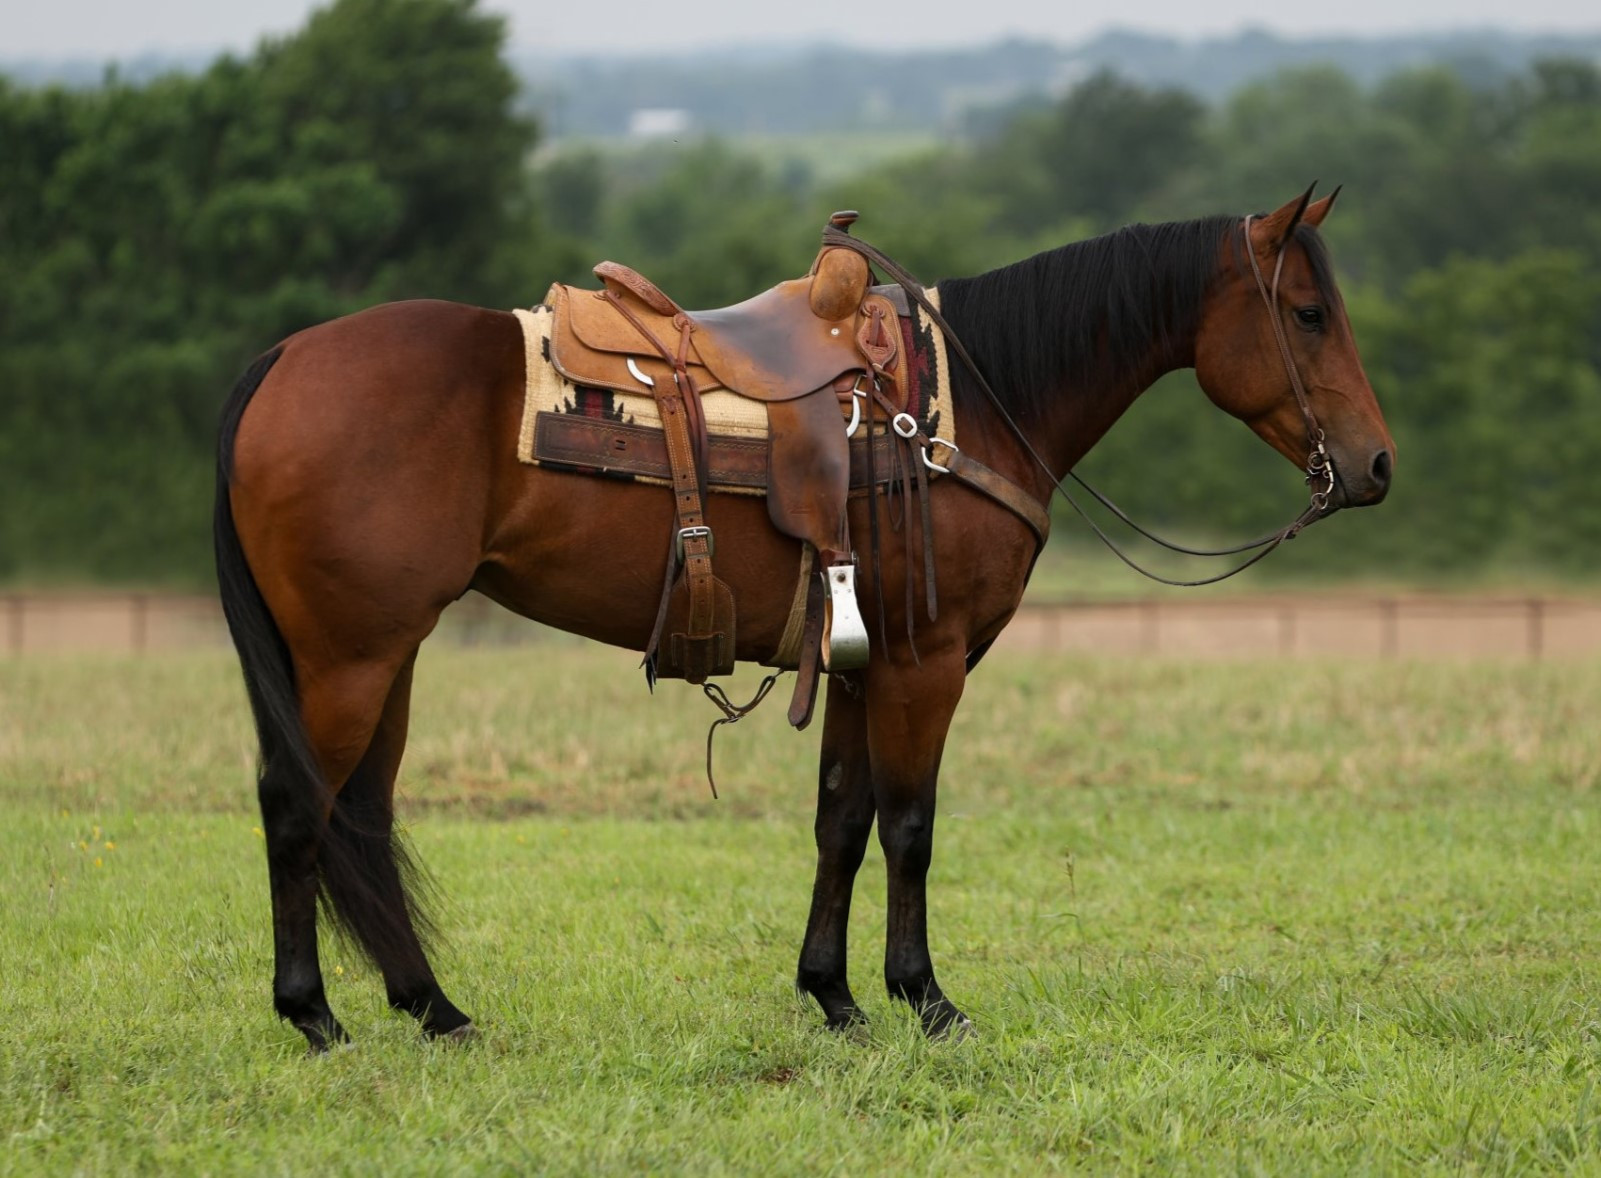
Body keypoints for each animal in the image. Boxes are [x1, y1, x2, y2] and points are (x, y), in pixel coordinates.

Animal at [209, 188, 1389, 1056]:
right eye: (1308, 313)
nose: (1374, 466)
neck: (968, 407)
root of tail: (284, 358)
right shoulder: (925, 664)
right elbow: (909, 828)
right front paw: (927, 1000)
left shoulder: (861, 665)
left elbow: (841, 820)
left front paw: (834, 995)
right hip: (350, 656)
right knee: (298, 804)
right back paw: (314, 1015)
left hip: (388, 653)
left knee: (362, 814)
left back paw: (434, 1009)